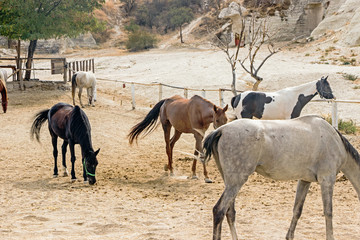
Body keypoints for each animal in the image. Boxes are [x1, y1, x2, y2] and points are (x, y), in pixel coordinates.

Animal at [204, 115, 360, 240]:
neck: (334, 140)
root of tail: (221, 130)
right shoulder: (327, 179)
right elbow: (328, 212)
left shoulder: (304, 181)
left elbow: (297, 211)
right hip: (236, 182)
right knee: (219, 211)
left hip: (230, 182)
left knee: (230, 212)